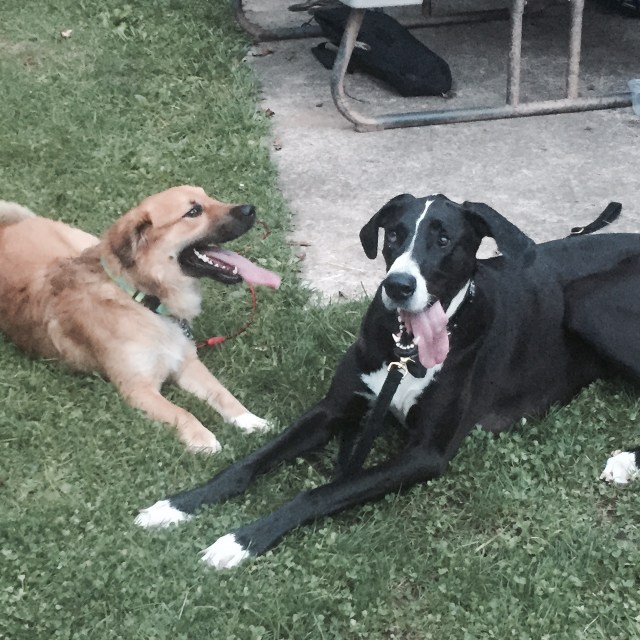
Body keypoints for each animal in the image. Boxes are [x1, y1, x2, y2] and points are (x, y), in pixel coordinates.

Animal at [0, 186, 280, 453]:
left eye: (209, 197)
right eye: (193, 212)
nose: (250, 209)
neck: (144, 301)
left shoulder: (187, 363)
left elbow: (222, 393)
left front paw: (249, 419)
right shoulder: (138, 389)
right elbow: (182, 413)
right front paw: (202, 439)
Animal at [136, 193, 640, 568]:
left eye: (444, 239)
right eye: (394, 234)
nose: (398, 286)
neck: (405, 353)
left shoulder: (425, 454)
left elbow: (319, 492)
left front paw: (240, 540)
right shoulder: (334, 409)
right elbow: (248, 463)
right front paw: (177, 506)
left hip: (586, 300)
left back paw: (626, 461)